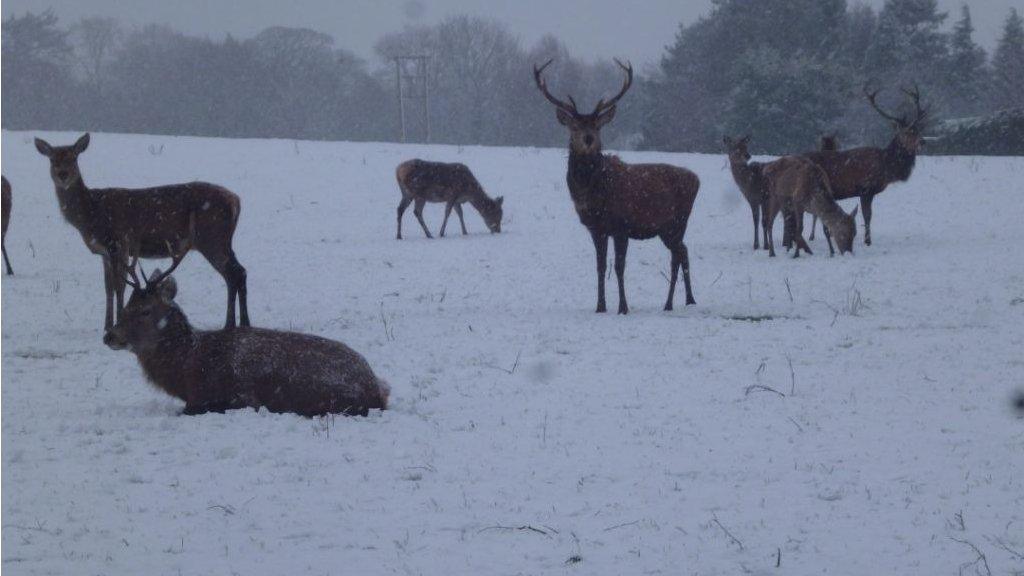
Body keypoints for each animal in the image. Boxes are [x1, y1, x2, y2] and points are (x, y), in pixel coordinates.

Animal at [35, 133, 250, 330]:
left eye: (73, 157)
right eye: (53, 159)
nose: (63, 174)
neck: (91, 215)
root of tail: (236, 201)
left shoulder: (118, 243)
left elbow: (119, 286)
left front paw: (117, 322)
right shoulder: (104, 252)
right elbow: (107, 287)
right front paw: (106, 325)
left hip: (211, 238)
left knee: (234, 273)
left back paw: (232, 324)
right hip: (223, 241)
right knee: (238, 272)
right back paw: (241, 323)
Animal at [104, 239, 387, 414]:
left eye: (145, 310)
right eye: (126, 305)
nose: (110, 336)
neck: (188, 369)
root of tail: (376, 387)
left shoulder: (239, 396)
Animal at [532, 58, 700, 313]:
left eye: (597, 126)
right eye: (574, 127)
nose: (588, 139)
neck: (594, 195)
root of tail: (697, 179)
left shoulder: (622, 225)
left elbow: (620, 267)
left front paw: (623, 307)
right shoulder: (596, 229)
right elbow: (600, 266)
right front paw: (600, 306)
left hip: (677, 222)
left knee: (679, 254)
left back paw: (676, 302)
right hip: (667, 228)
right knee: (683, 252)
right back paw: (683, 300)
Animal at [806, 85, 929, 243]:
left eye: (918, 130)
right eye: (906, 132)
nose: (923, 141)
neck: (886, 167)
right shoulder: (865, 189)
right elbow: (867, 215)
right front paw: (867, 240)